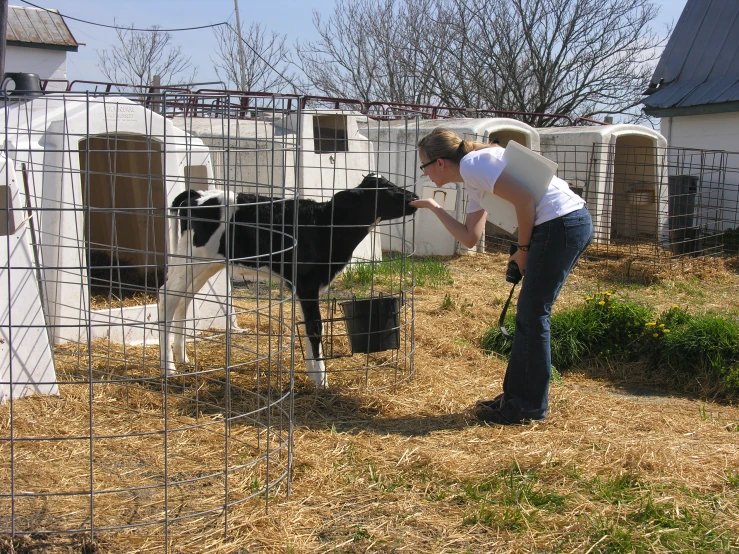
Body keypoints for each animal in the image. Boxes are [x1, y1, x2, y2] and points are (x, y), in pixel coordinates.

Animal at [159, 175, 420, 386]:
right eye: (388, 191)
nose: (415, 197)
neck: (326, 225)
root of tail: (197, 195)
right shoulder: (307, 284)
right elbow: (315, 327)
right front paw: (322, 380)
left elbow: (306, 326)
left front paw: (312, 374)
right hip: (191, 260)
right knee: (166, 300)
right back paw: (168, 369)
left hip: (204, 265)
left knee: (183, 302)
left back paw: (183, 359)